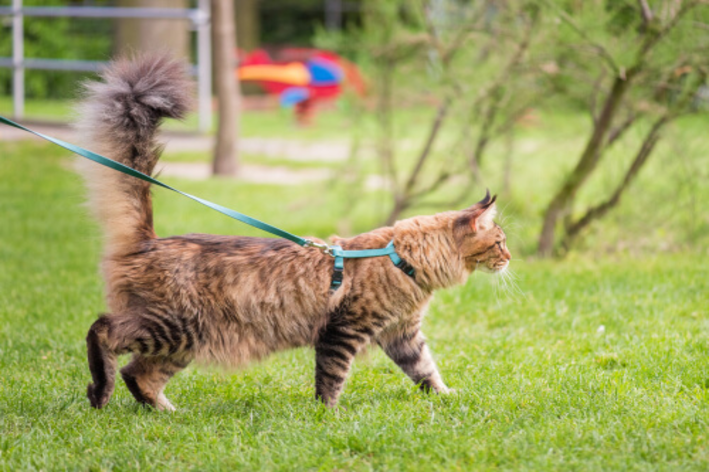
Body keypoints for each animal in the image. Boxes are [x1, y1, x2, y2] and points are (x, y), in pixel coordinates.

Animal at [77, 54, 508, 410]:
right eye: (500, 242)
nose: (508, 258)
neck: (400, 257)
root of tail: (149, 240)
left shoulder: (402, 334)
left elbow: (426, 371)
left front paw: (448, 397)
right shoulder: (344, 330)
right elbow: (332, 378)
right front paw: (328, 415)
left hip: (182, 343)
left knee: (139, 375)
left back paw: (166, 412)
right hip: (173, 326)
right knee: (102, 332)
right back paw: (100, 391)